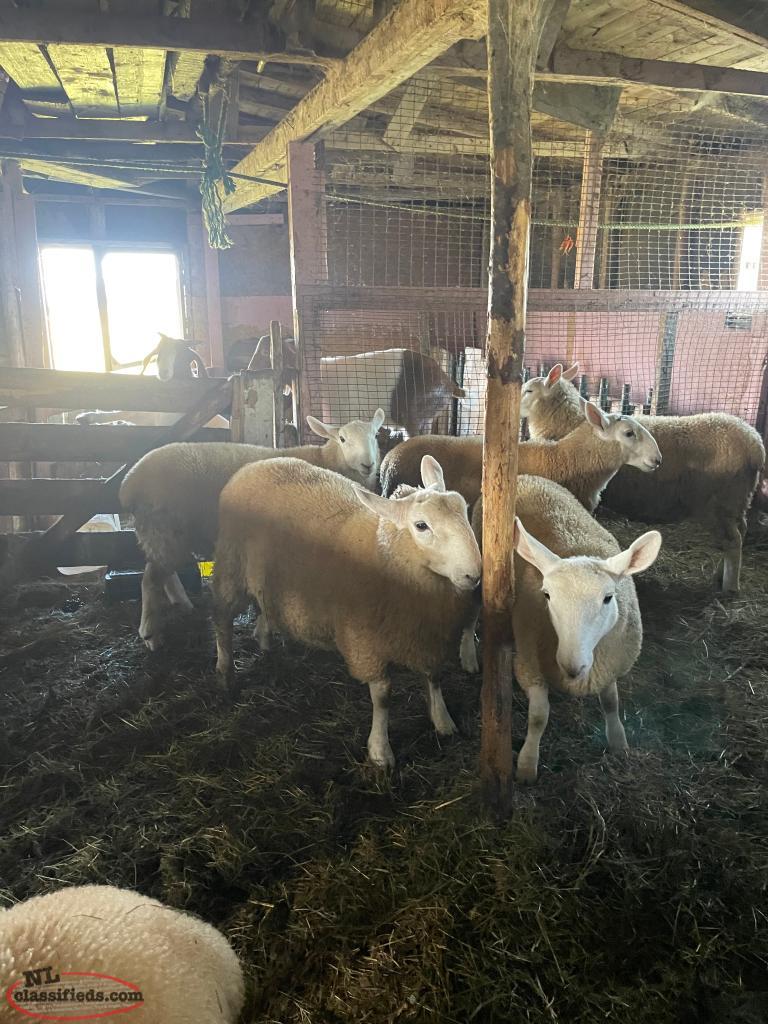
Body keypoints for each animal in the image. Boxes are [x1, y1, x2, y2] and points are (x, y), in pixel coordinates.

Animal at [120, 408, 386, 651]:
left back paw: (183, 605)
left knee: (162, 572)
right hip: (163, 529)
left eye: (375, 435)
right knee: (150, 579)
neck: (325, 459)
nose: (368, 464)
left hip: (164, 533)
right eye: (342, 439)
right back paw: (150, 634)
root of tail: (129, 484)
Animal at [212, 454, 482, 768]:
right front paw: (380, 751)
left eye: (464, 509)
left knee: (264, 612)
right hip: (232, 566)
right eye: (421, 526)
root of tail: (257, 464)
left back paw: (266, 645)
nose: (474, 575)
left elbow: (434, 678)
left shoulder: (429, 639)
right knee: (221, 620)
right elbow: (383, 697)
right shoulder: (365, 644)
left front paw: (443, 721)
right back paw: (226, 672)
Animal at [472, 476, 661, 783]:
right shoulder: (529, 666)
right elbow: (539, 716)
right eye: (546, 595)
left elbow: (611, 702)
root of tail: (525, 476)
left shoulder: (610, 665)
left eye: (608, 598)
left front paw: (618, 742)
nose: (572, 665)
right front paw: (527, 764)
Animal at [521, 363, 766, 592]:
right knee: (739, 534)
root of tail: (755, 443)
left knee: (733, 542)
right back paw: (719, 575)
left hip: (718, 504)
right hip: (738, 501)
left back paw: (729, 586)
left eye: (528, 390)